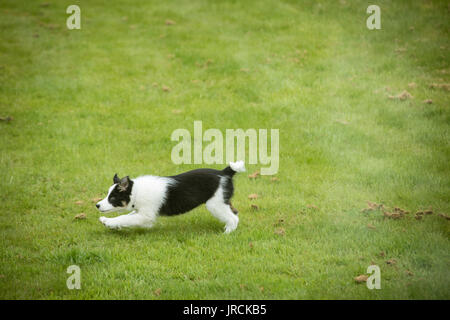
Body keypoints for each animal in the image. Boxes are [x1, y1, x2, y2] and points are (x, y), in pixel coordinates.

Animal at [95, 161, 246, 234]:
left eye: (112, 198)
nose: (97, 205)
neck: (136, 191)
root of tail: (224, 173)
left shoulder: (146, 216)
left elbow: (124, 218)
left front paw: (110, 222)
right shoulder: (141, 213)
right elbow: (127, 217)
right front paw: (109, 222)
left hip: (215, 204)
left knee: (233, 218)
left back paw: (227, 232)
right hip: (222, 201)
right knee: (234, 213)